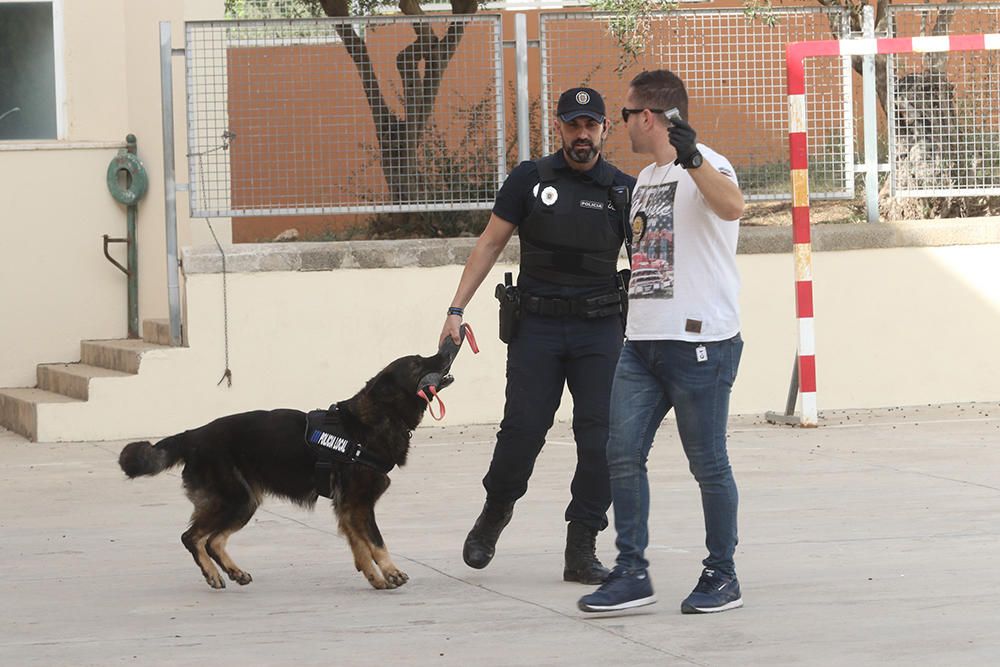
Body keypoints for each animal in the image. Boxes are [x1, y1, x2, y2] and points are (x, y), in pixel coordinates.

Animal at [119, 350, 458, 588]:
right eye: (417, 363)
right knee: (191, 537)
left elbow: (359, 545)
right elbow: (375, 541)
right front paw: (391, 572)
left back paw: (233, 571)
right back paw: (213, 574)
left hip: (245, 502)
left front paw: (375, 578)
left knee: (213, 540)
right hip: (234, 499)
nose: (445, 351)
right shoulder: (359, 504)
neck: (373, 420)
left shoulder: (347, 507)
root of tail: (194, 434)